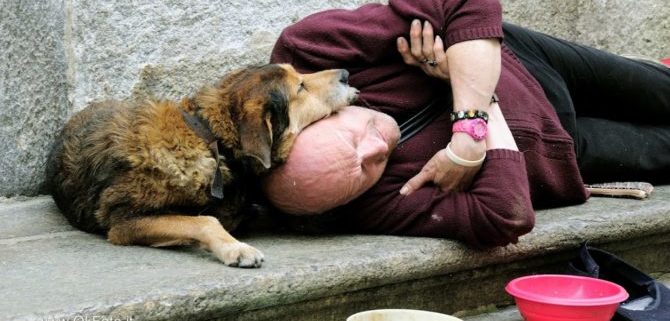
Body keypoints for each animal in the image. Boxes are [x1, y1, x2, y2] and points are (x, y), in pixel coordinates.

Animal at [44, 63, 360, 266]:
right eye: (301, 87)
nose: (346, 73)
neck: (213, 141)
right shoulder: (124, 222)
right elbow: (205, 222)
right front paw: (236, 248)